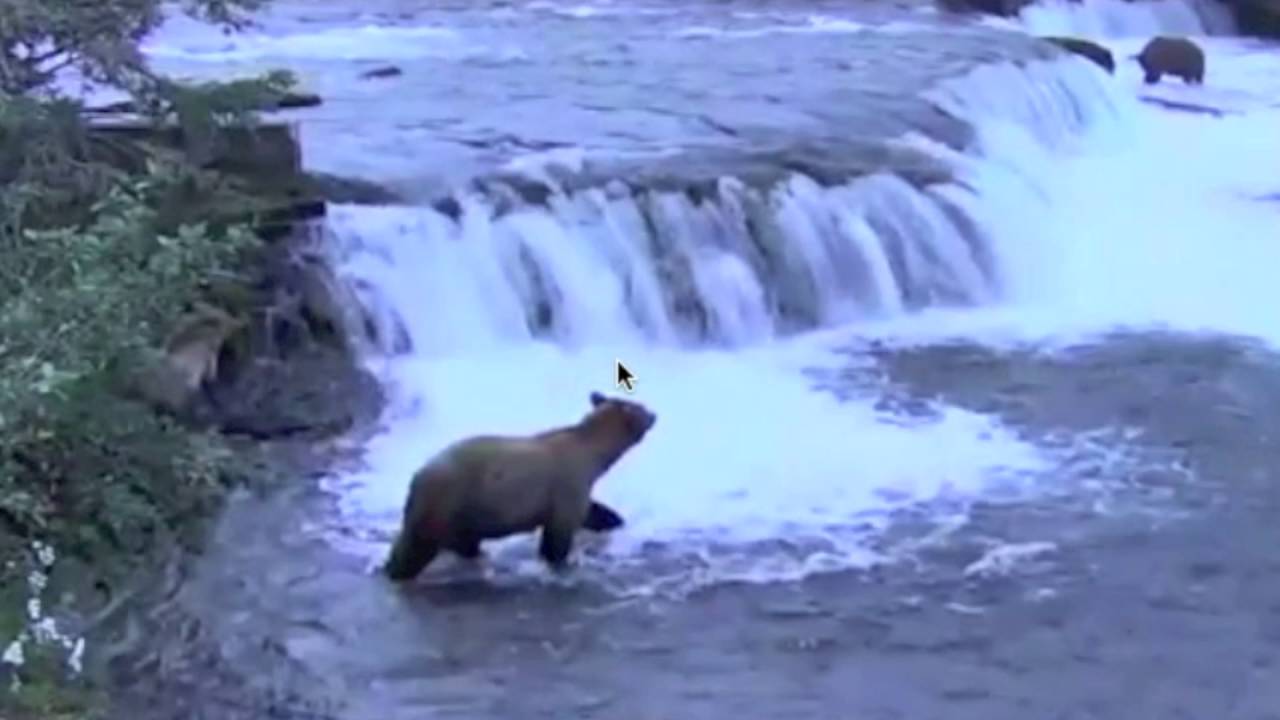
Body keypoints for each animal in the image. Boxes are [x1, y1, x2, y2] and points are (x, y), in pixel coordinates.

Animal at [383, 391, 657, 580]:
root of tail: (417, 479)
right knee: (430, 548)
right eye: (642, 408)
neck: (591, 450)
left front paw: (613, 519)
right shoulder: (568, 481)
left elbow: (590, 511)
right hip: (452, 506)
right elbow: (559, 532)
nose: (655, 414)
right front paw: (560, 562)